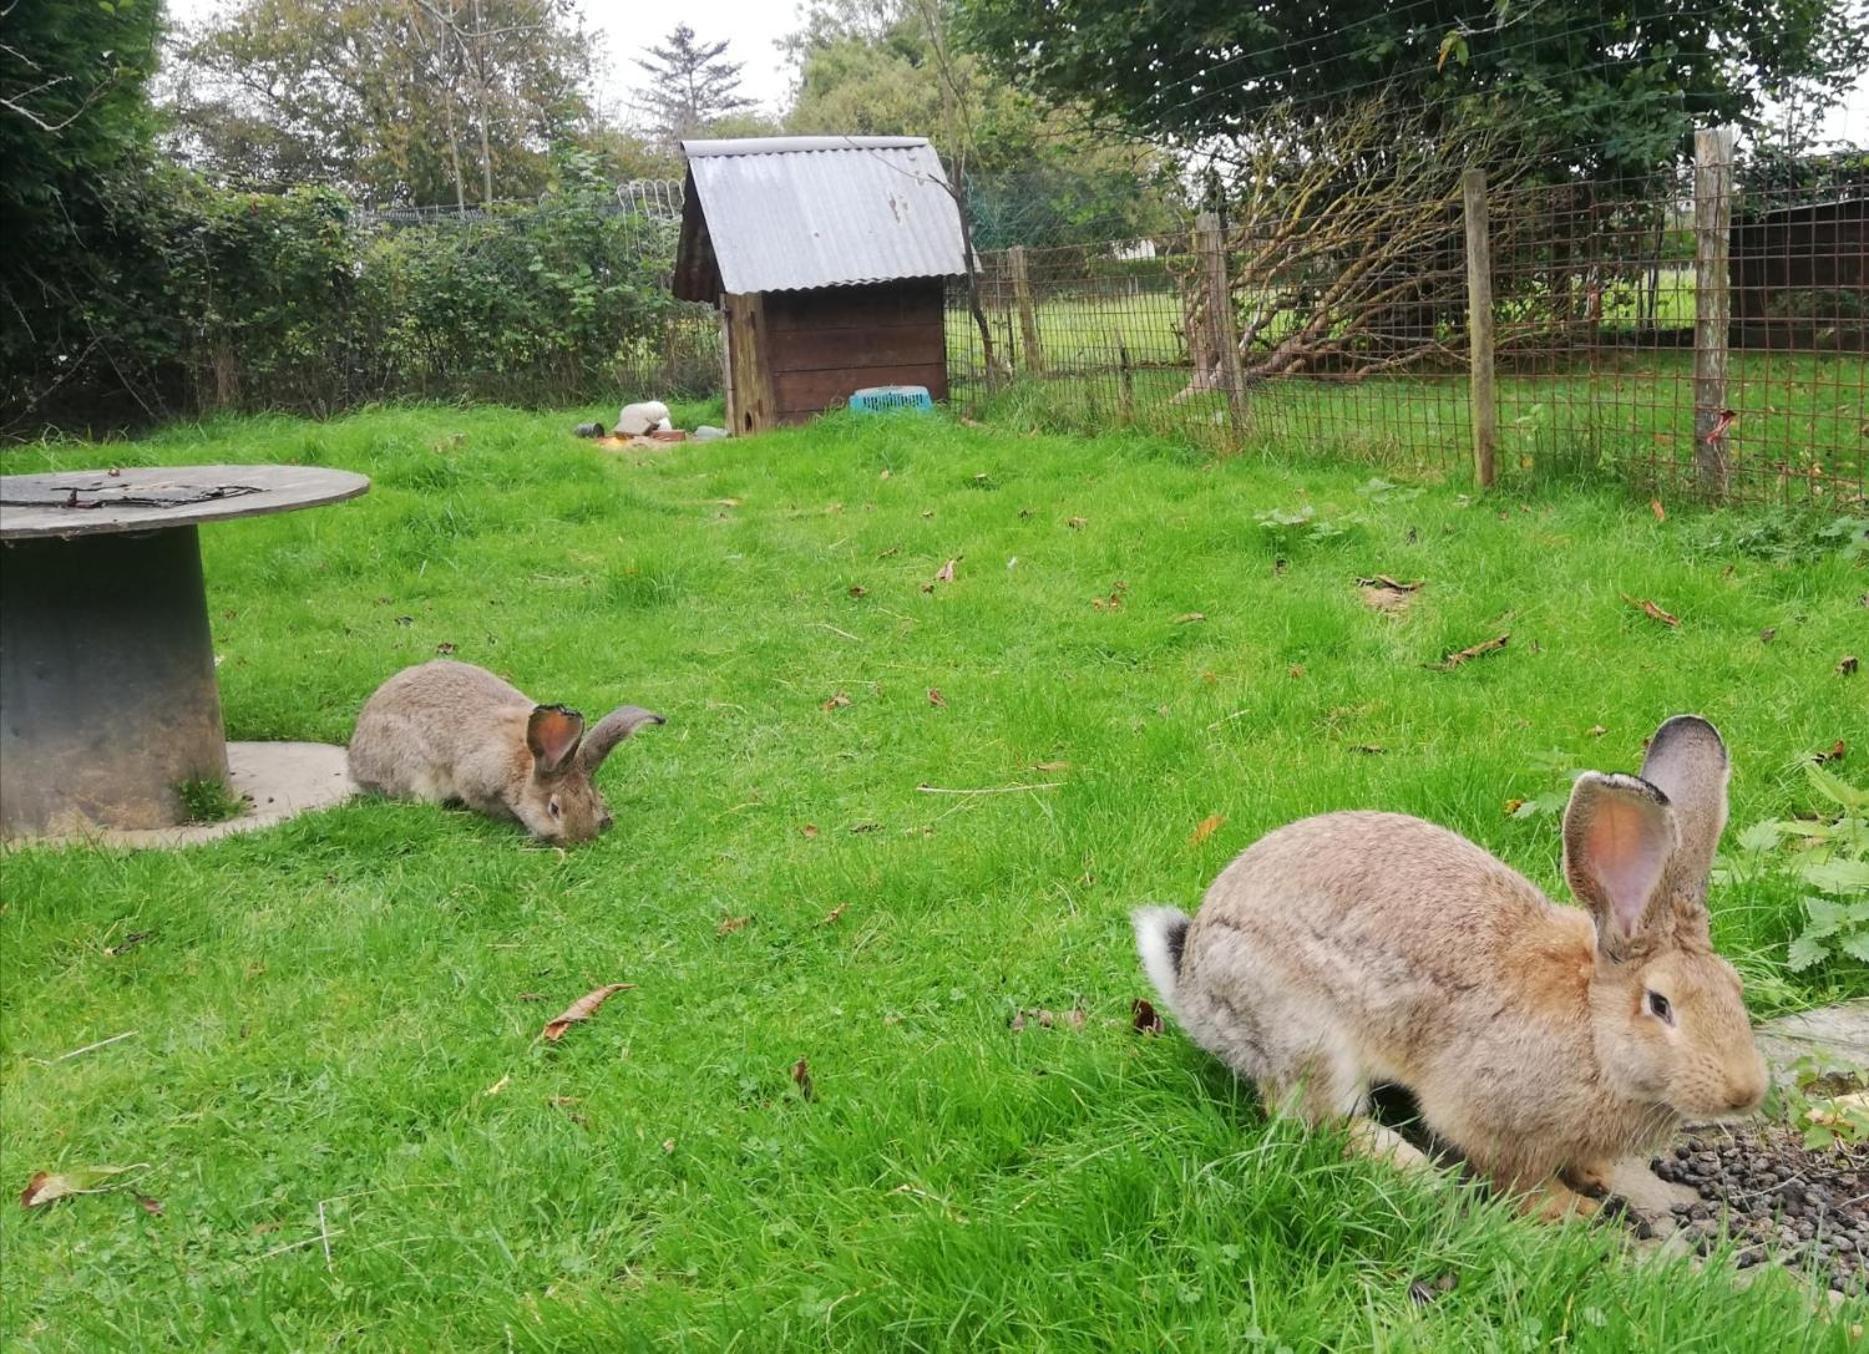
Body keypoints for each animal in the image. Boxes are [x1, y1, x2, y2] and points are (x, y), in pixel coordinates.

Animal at [349, 658, 665, 841]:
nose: (579, 840)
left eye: (592, 801)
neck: (527, 764)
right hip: (413, 769)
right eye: (554, 808)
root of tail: (356, 760)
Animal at [1136, 714, 1764, 1219]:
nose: (1746, 1092)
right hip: (1304, 1032)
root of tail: (1191, 985)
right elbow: (1520, 1178)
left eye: (1735, 989)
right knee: (1317, 1120)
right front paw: (1570, 1212)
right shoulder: (1492, 1122)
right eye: (1660, 1005)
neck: (1593, 1030)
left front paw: (1596, 1177)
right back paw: (1417, 1173)